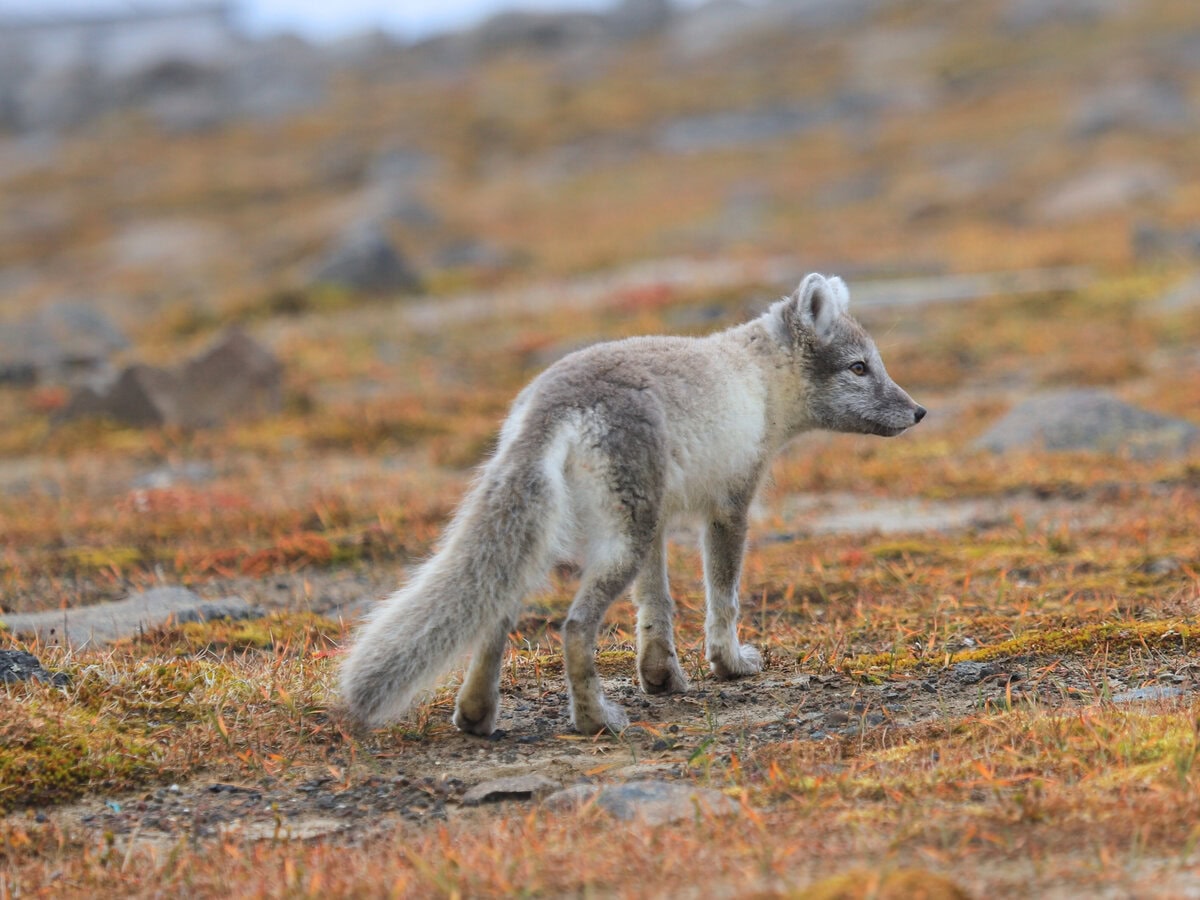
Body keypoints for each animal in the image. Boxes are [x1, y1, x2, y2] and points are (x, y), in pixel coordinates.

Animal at [340, 273, 925, 735]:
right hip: (618, 538)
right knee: (574, 627)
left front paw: (661, 677)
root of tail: (551, 402)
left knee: (495, 615)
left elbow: (655, 604)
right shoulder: (730, 506)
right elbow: (724, 599)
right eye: (858, 368)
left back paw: (478, 716)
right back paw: (594, 719)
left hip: (576, 529)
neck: (758, 379)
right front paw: (729, 663)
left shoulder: (660, 521)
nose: (919, 412)